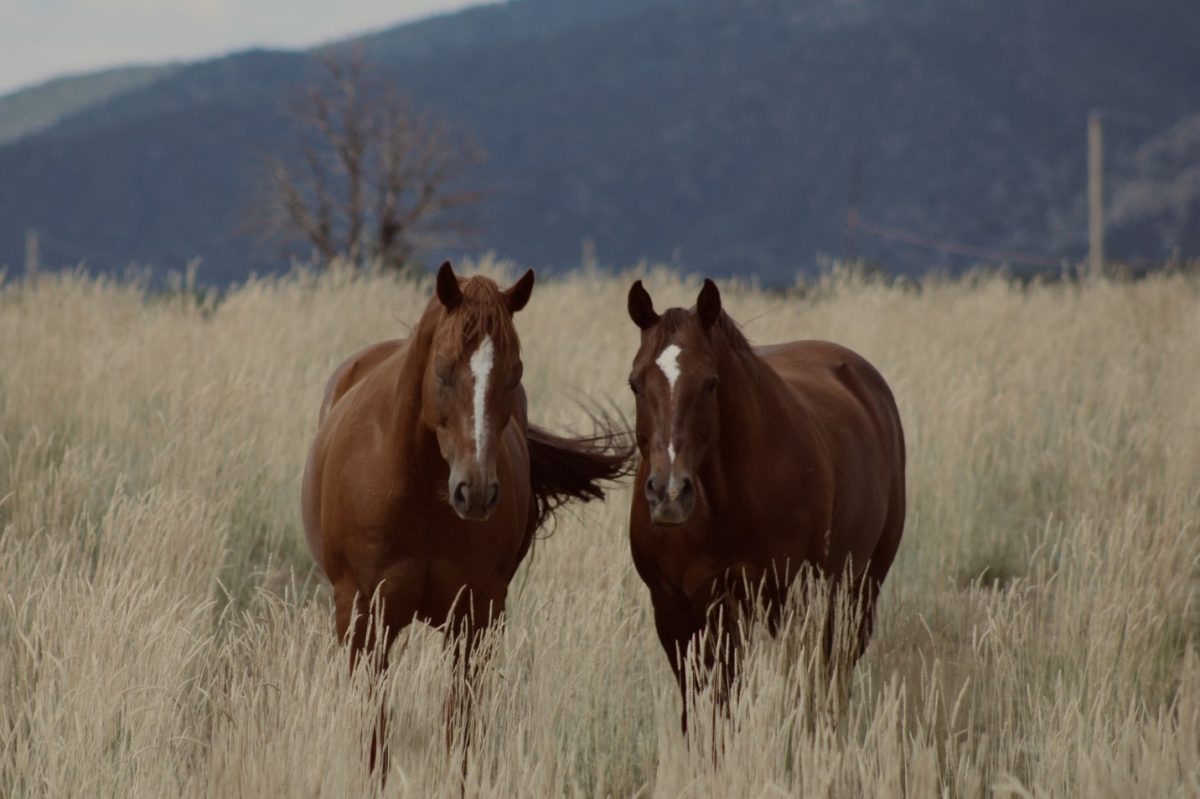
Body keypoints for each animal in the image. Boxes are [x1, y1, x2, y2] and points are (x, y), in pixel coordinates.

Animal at [624, 278, 902, 729]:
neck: (724, 509)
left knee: (834, 671)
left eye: (710, 382)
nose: (669, 493)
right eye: (635, 383)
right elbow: (704, 704)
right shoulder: (676, 608)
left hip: (858, 588)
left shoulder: (786, 599)